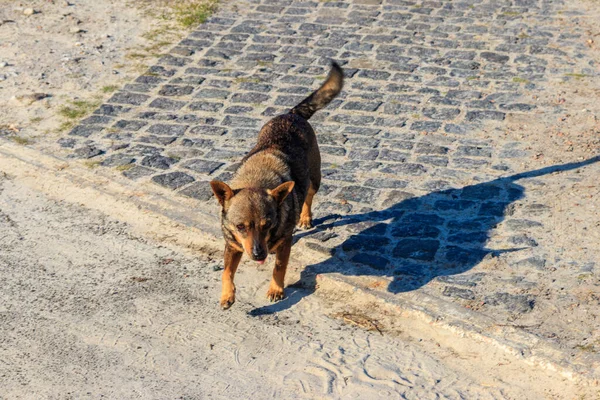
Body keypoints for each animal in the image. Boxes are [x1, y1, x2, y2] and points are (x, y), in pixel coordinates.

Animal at [210, 61, 342, 310]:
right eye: (240, 226)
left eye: (267, 224)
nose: (258, 255)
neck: (256, 179)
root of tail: (292, 114)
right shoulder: (232, 246)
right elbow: (226, 272)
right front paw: (227, 295)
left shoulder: (284, 243)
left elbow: (279, 267)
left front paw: (276, 289)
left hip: (314, 178)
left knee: (308, 196)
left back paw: (305, 217)